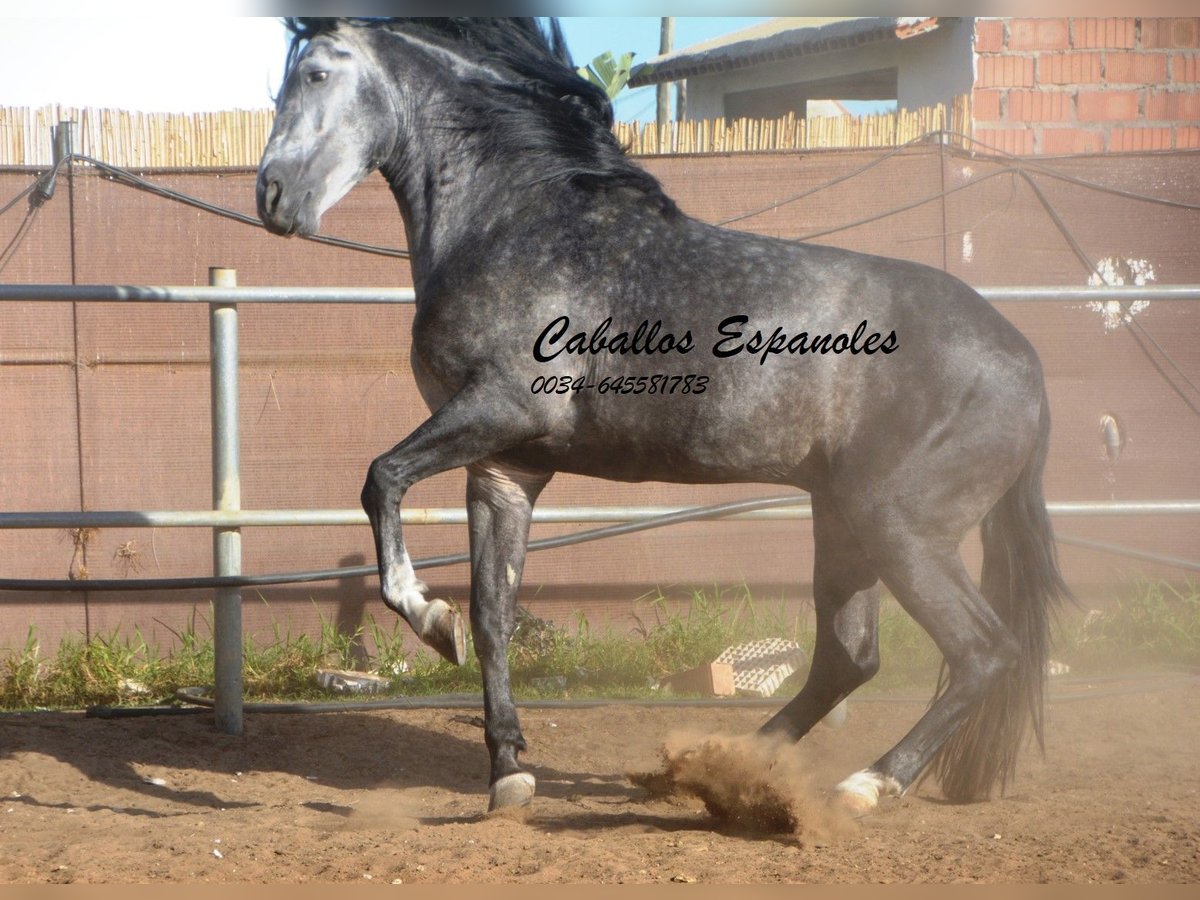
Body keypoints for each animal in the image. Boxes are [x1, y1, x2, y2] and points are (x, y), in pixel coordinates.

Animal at [256, 17, 1070, 816]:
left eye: (317, 73)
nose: (272, 196)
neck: (512, 219)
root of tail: (1025, 362)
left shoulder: (500, 409)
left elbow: (380, 478)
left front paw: (428, 619)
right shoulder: (505, 468)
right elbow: (492, 614)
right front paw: (506, 771)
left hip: (900, 526)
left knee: (981, 652)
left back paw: (862, 787)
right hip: (844, 521)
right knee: (851, 657)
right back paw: (718, 770)